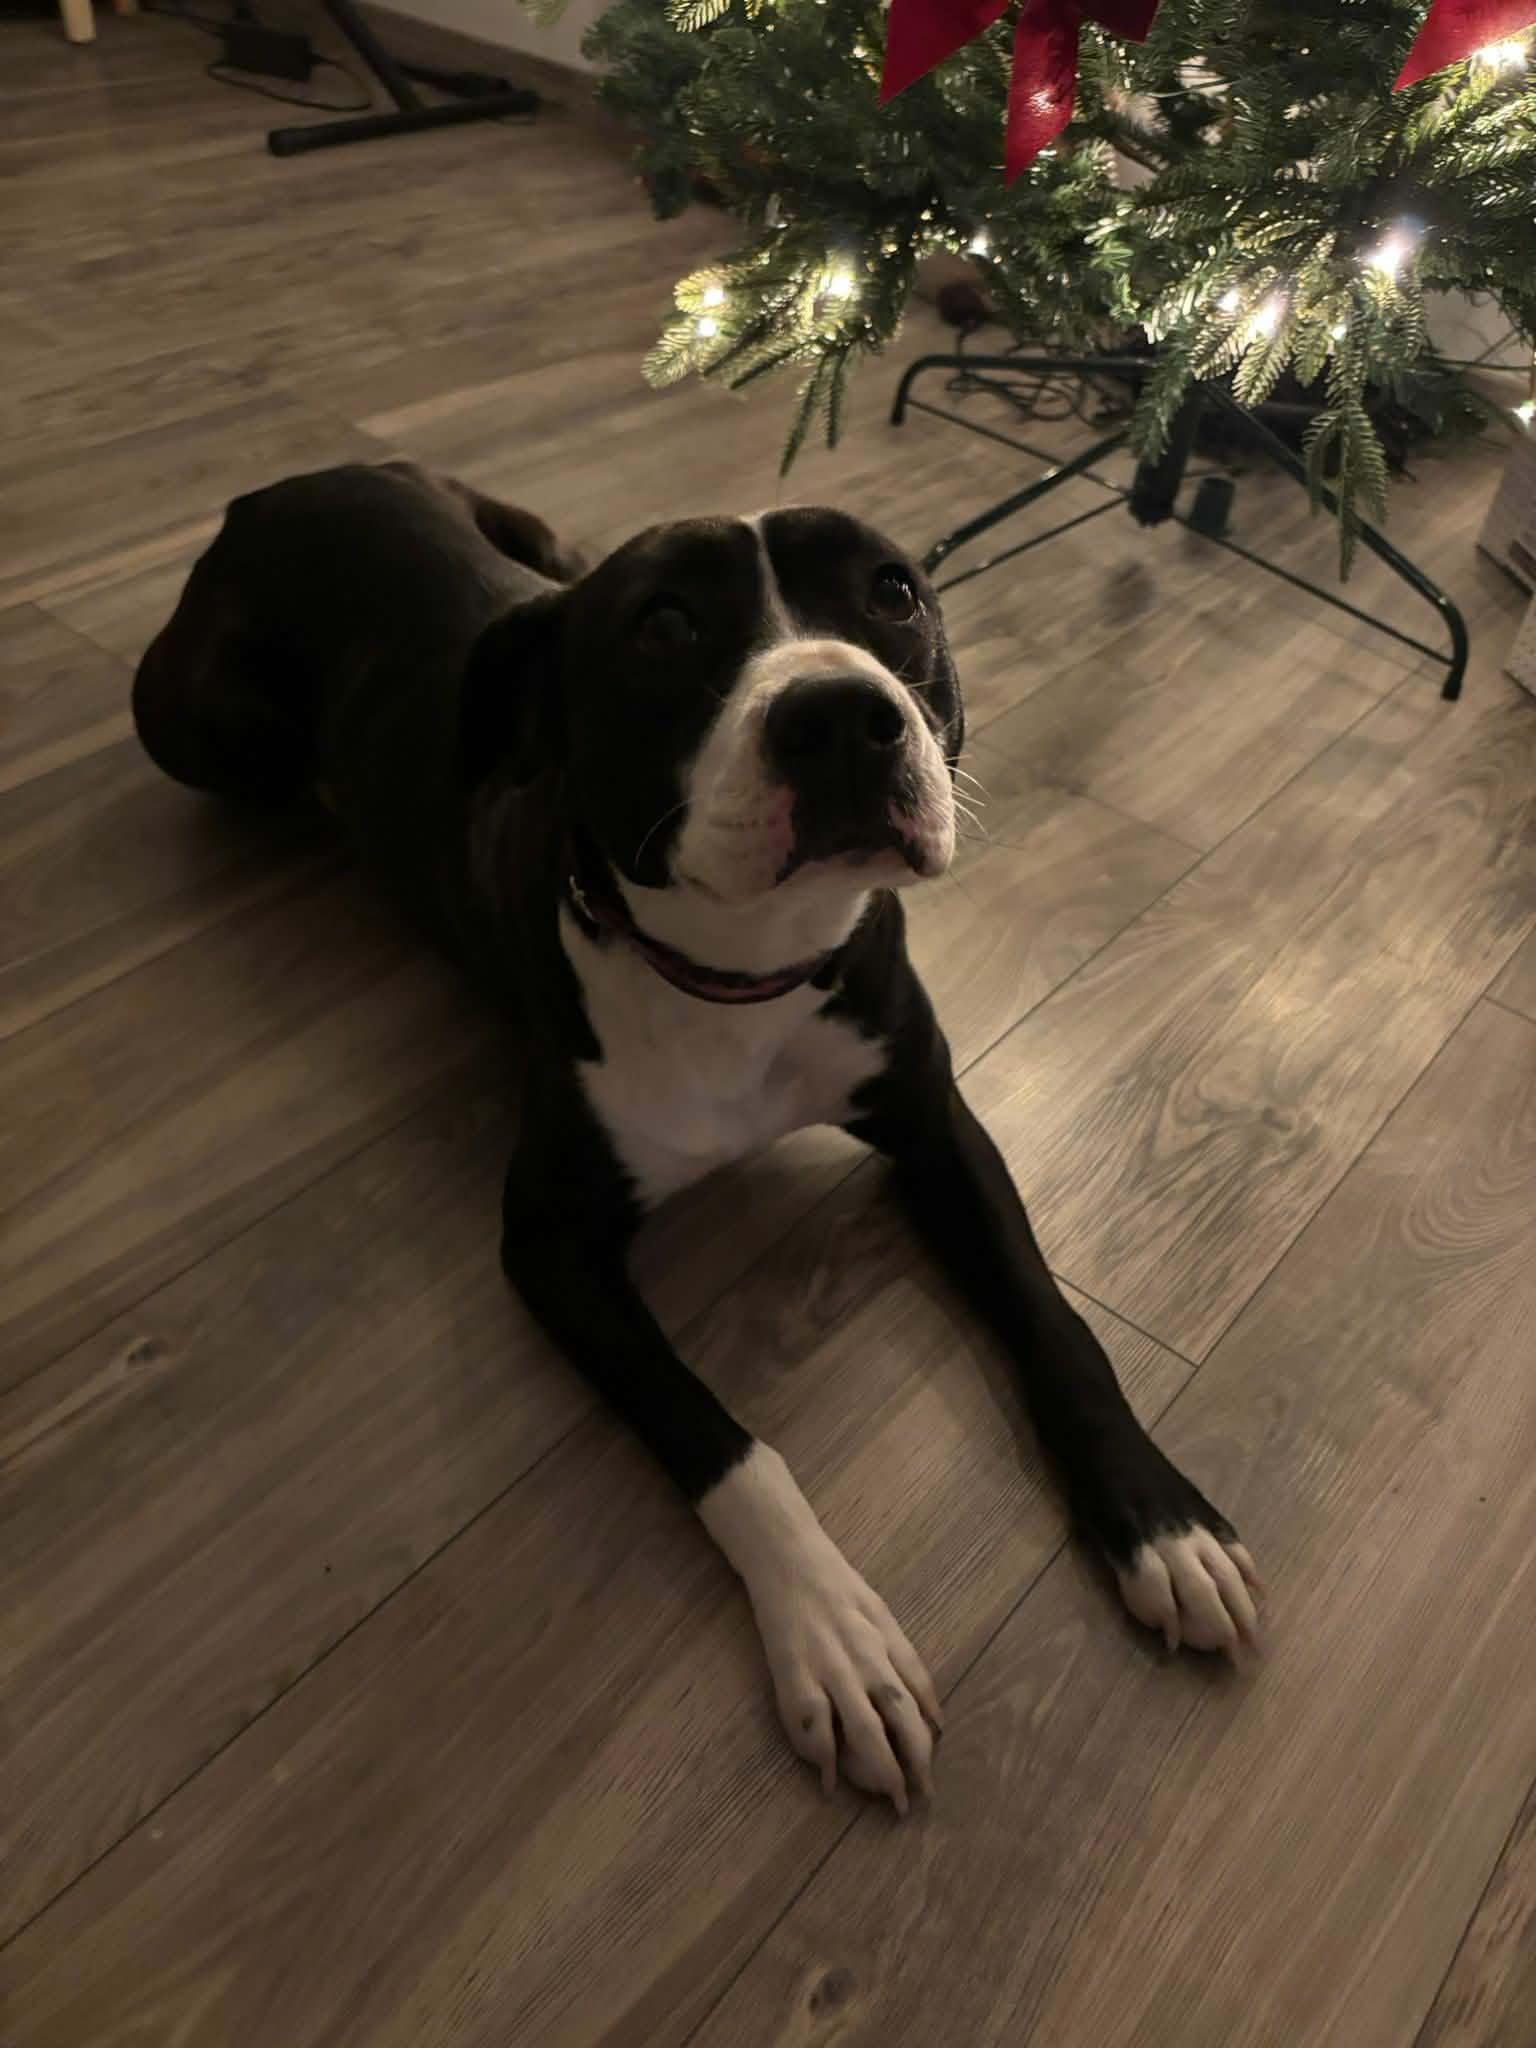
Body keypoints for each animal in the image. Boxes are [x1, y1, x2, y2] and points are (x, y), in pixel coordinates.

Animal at [134, 461, 1261, 1811]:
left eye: (895, 591)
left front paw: (1160, 1516)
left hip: (534, 540)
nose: (841, 713)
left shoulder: (940, 1128)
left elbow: (1057, 1322)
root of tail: (286, 485)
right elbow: (725, 1441)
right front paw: (831, 1630)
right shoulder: (550, 1243)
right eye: (663, 624)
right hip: (203, 729)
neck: (746, 969)